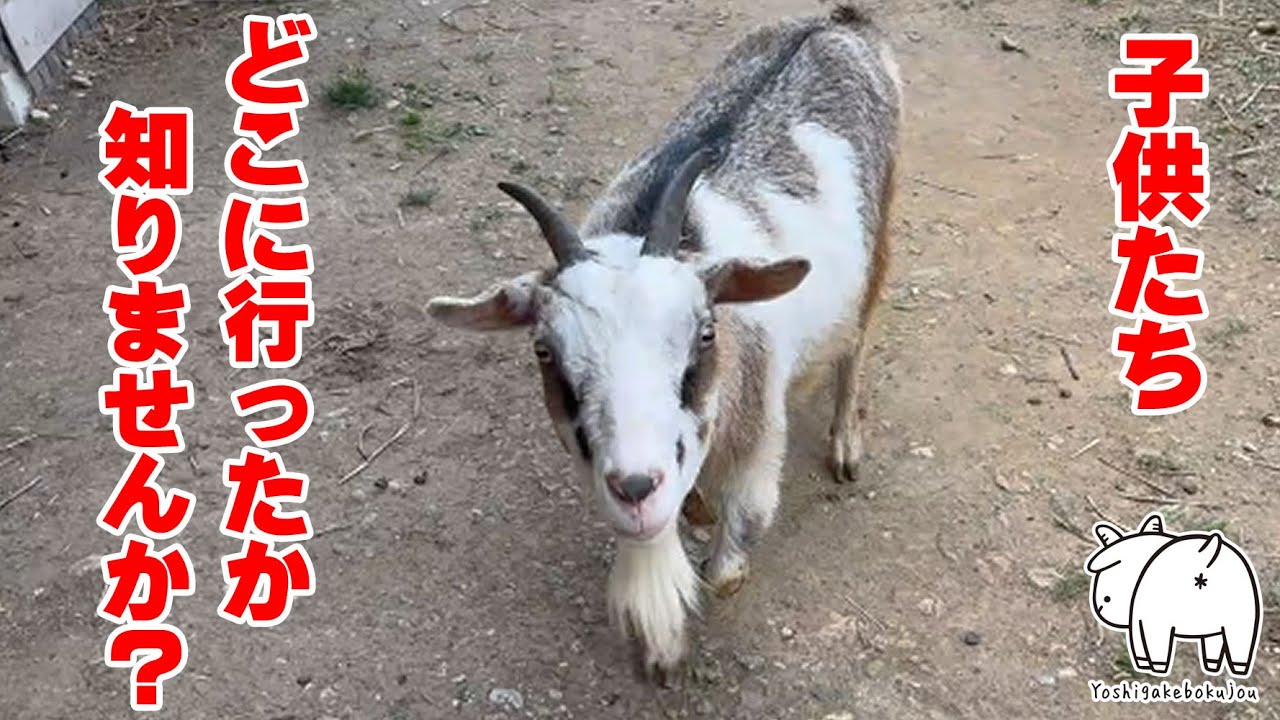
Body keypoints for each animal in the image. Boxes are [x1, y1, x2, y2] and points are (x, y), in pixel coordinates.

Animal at [427, 5, 901, 681]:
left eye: (705, 333)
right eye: (544, 351)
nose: (635, 488)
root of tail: (837, 23)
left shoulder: (758, 440)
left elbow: (726, 570)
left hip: (880, 230)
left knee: (857, 338)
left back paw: (844, 443)